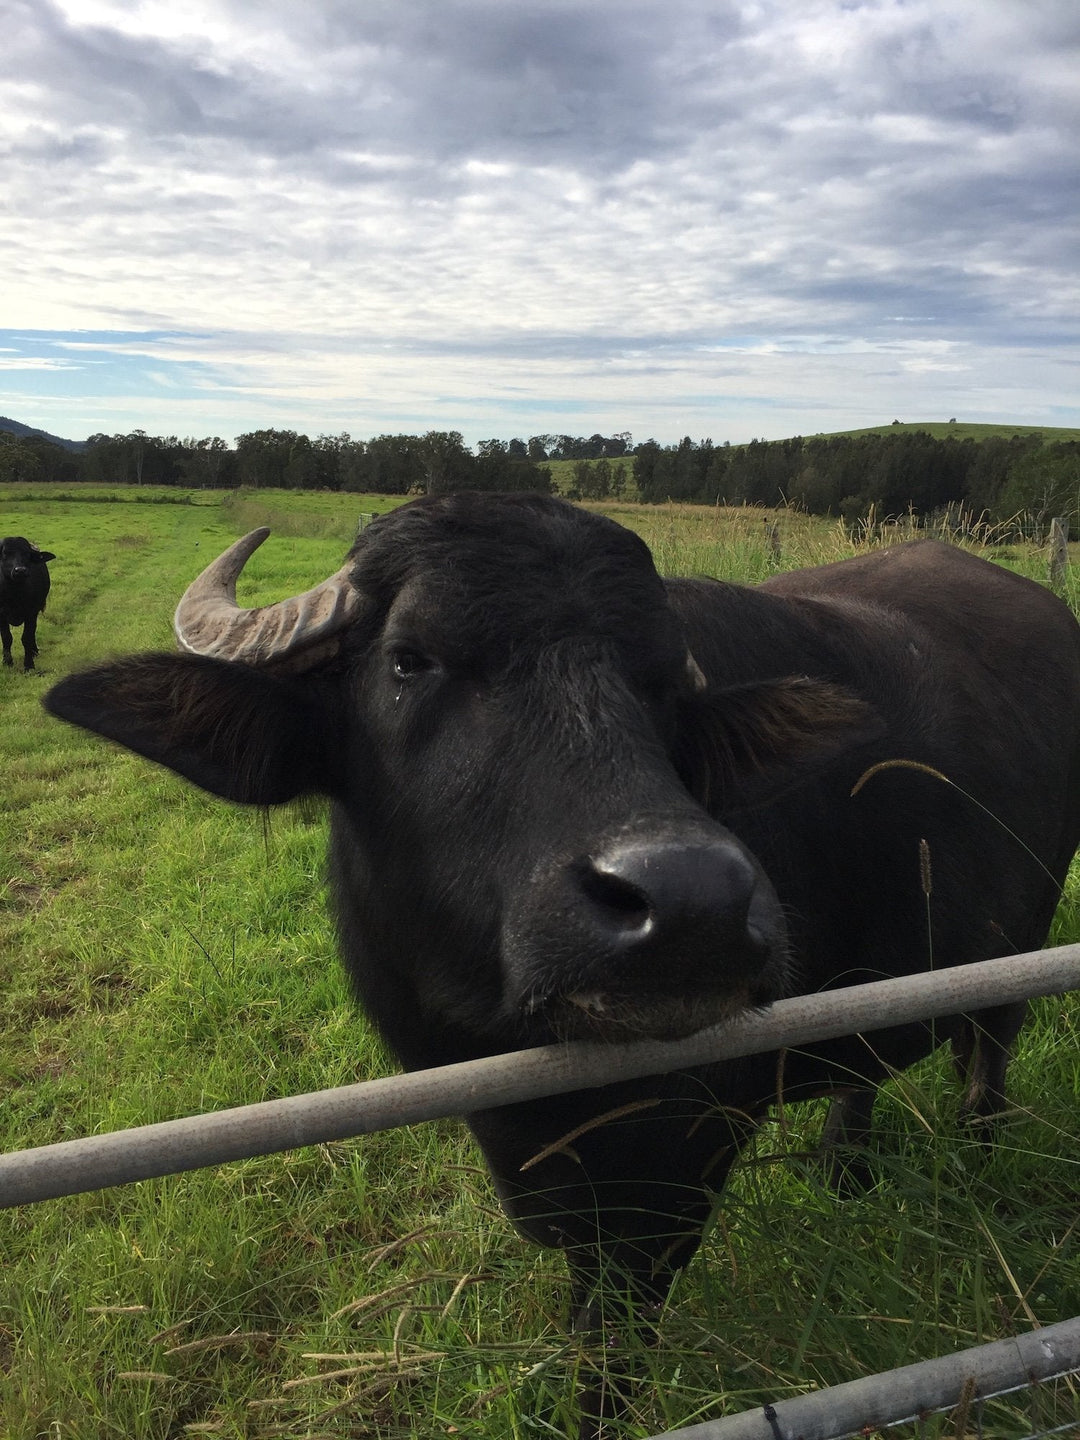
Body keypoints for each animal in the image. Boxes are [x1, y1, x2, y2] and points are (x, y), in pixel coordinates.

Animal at [0, 538, 55, 671]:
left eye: (27, 554)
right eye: (5, 553)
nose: (20, 570)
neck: (14, 594)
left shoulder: (31, 612)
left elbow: (27, 638)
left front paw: (29, 665)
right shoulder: (1, 615)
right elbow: (6, 637)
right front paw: (7, 662)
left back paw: (34, 651)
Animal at [42, 495, 1080, 1428]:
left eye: (664, 685)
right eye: (409, 659)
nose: (692, 903)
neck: (518, 1066)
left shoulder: (674, 1173)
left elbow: (606, 1351)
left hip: (1019, 951)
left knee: (988, 1054)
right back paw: (843, 1168)